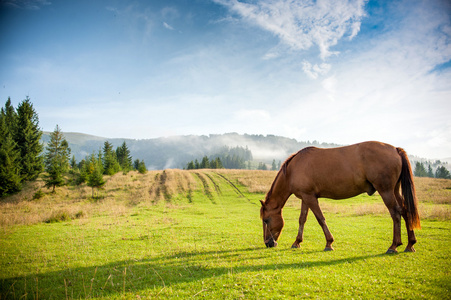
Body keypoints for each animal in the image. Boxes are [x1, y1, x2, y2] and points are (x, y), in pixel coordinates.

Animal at [260, 142, 422, 254]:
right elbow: (302, 219)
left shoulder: (311, 198)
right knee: (405, 211)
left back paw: (394, 245)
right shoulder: (305, 198)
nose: (268, 243)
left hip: (386, 191)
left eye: (266, 220)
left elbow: (320, 218)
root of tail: (395, 149)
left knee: (395, 213)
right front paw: (297, 242)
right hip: (394, 190)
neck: (293, 170)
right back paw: (410, 244)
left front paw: (329, 243)